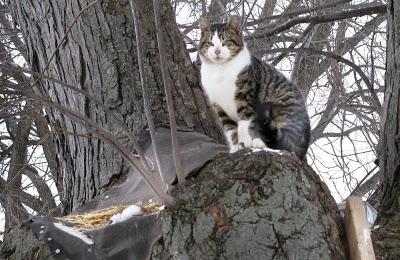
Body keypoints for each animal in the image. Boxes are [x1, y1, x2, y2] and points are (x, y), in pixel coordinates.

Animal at [198, 15, 310, 160]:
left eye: (225, 42)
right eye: (210, 43)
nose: (217, 51)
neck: (220, 71)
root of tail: (304, 149)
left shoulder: (245, 95)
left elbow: (244, 123)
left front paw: (245, 141)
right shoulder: (219, 107)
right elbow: (231, 130)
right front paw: (236, 148)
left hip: (282, 109)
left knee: (285, 143)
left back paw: (259, 143)